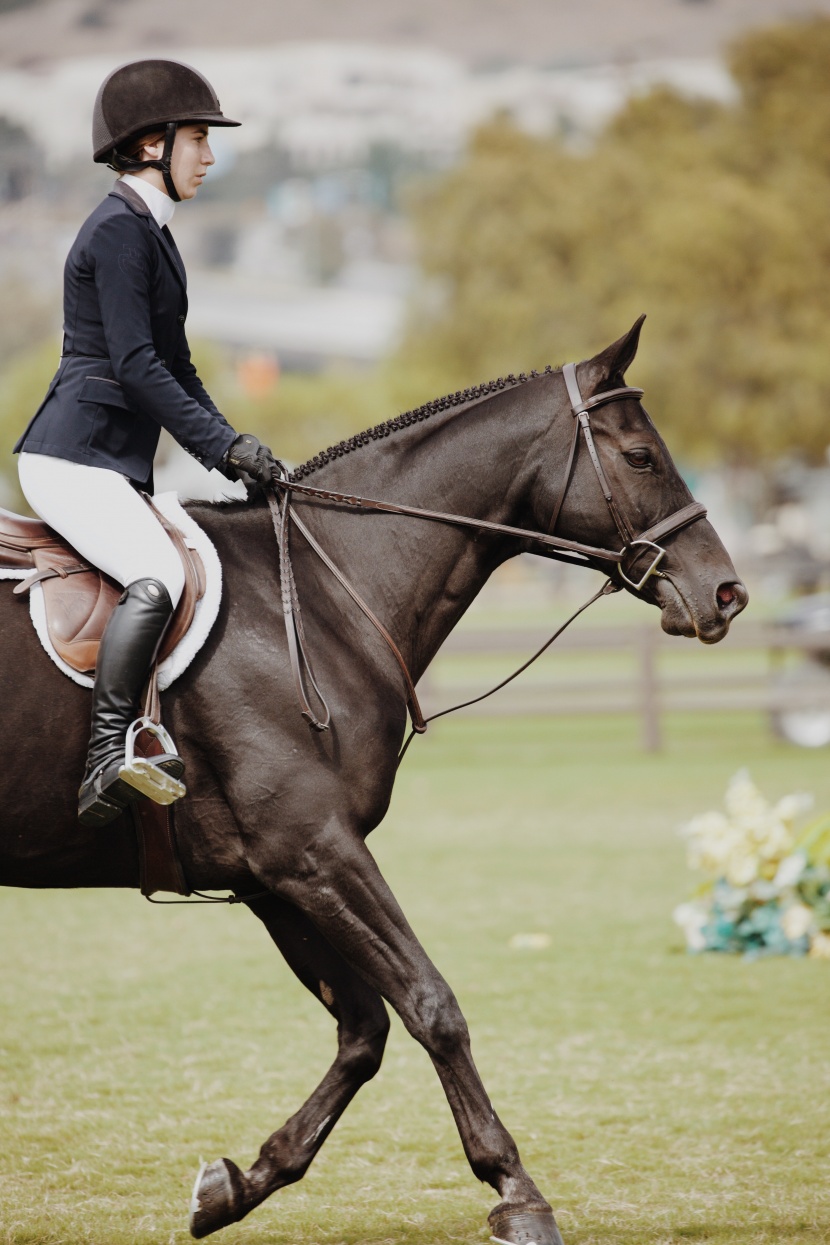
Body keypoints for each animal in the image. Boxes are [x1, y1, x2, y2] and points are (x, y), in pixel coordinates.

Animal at [0, 323, 751, 1245]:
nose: (727, 592)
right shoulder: (314, 850)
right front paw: (517, 1191)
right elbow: (432, 1004)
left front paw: (237, 1182)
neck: (318, 598)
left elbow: (363, 1029)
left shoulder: (273, 875)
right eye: (641, 456)